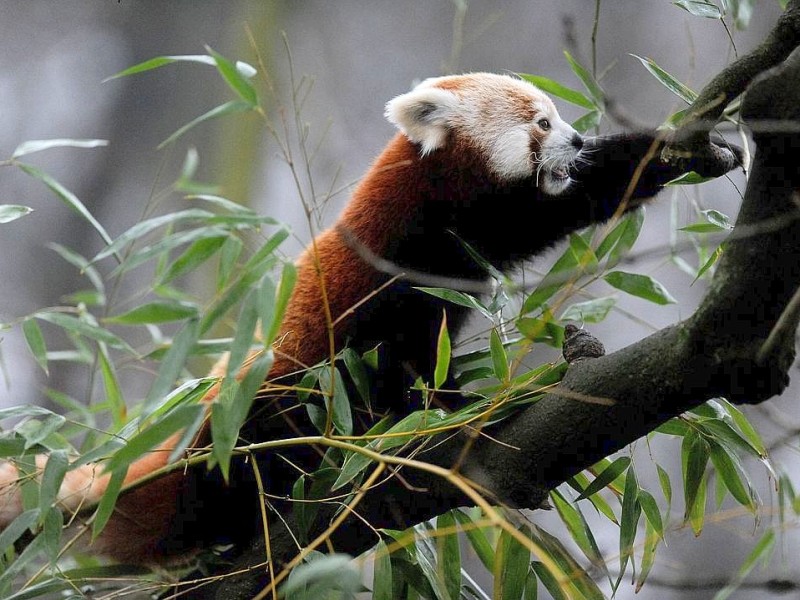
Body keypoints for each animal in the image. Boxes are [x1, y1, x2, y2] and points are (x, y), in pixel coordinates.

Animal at [0, 72, 736, 564]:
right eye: (541, 123)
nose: (579, 138)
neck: (434, 188)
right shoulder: (407, 248)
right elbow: (405, 349)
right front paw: (437, 411)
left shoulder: (467, 249)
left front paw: (690, 150)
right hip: (268, 408)